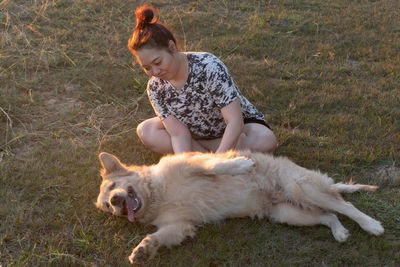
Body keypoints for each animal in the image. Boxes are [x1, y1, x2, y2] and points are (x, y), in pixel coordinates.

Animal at [96, 151, 384, 266]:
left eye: (113, 186)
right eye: (106, 206)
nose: (115, 203)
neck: (157, 194)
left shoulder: (193, 163)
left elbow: (217, 165)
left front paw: (242, 165)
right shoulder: (179, 225)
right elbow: (157, 237)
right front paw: (143, 250)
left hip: (302, 188)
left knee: (346, 206)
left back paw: (372, 225)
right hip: (288, 214)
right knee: (330, 215)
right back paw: (340, 232)